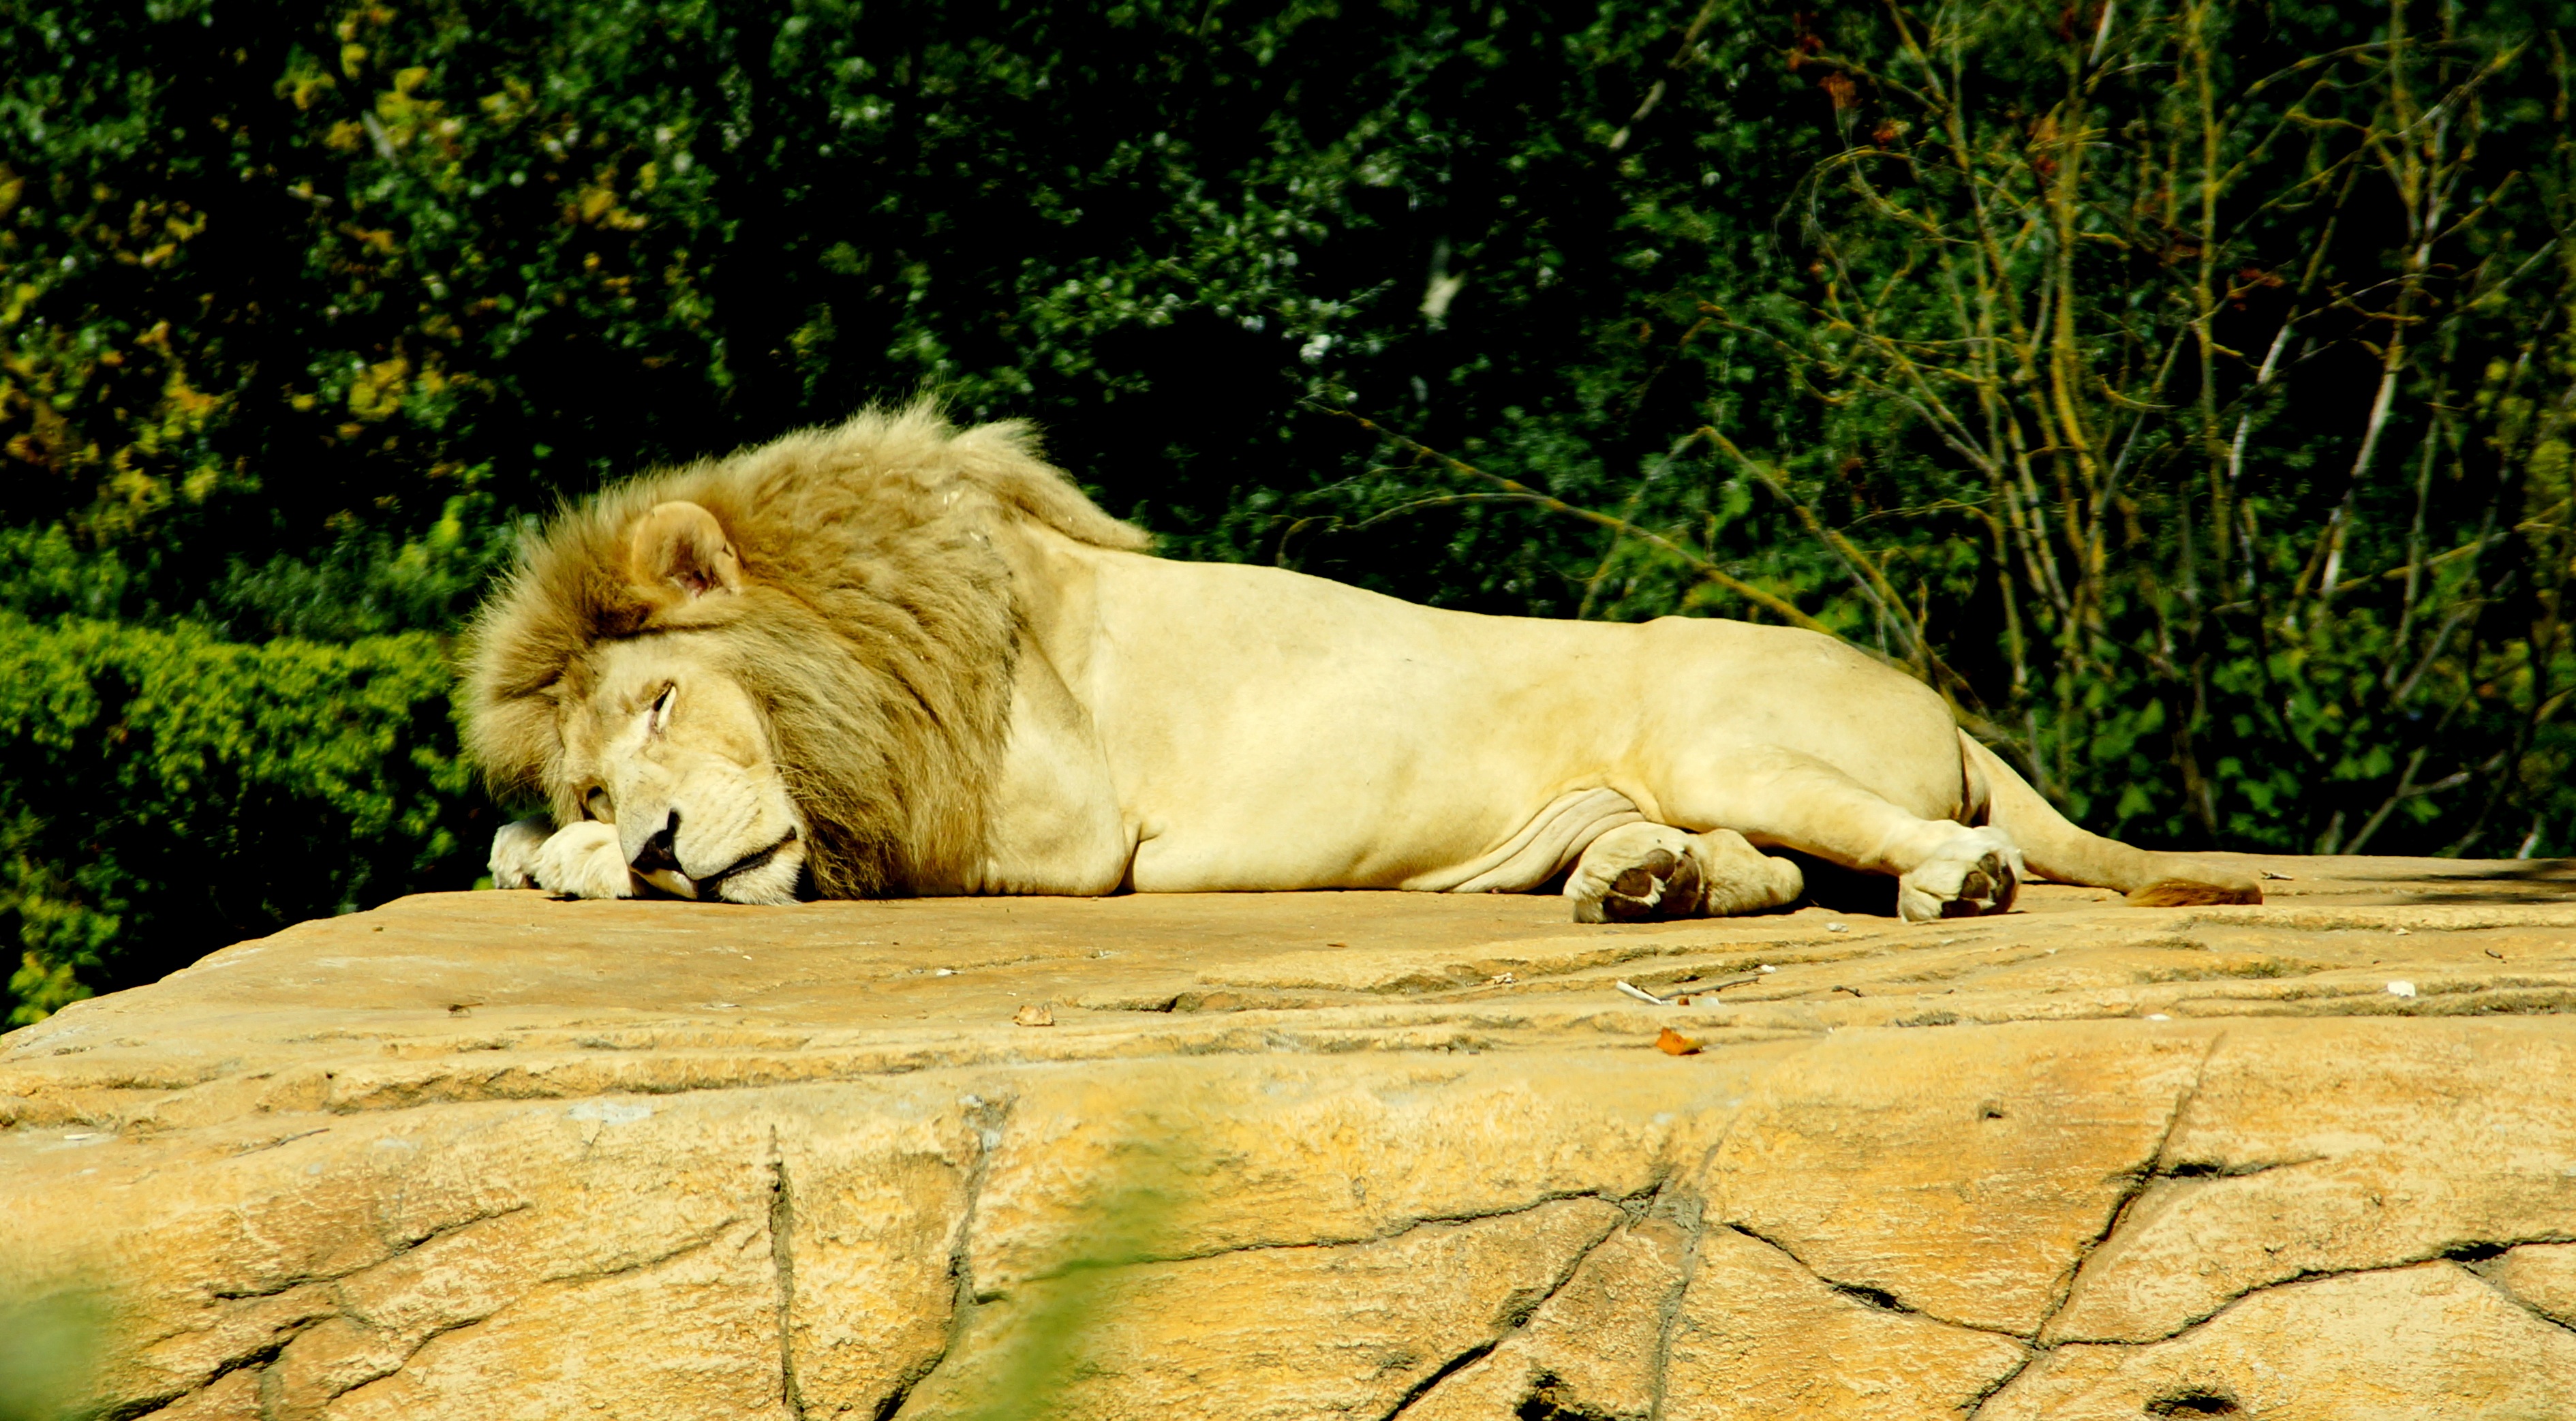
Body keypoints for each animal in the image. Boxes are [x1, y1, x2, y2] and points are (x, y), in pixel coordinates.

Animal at [463, 404, 2256, 926]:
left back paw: (1950, 876)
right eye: (598, 768)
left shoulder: (1055, 831)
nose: (655, 837)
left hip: (1726, 728)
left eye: (663, 697)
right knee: (1767, 873)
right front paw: (546, 850)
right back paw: (1641, 881)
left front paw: (584, 869)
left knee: (1925, 842)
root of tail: (1937, 695)